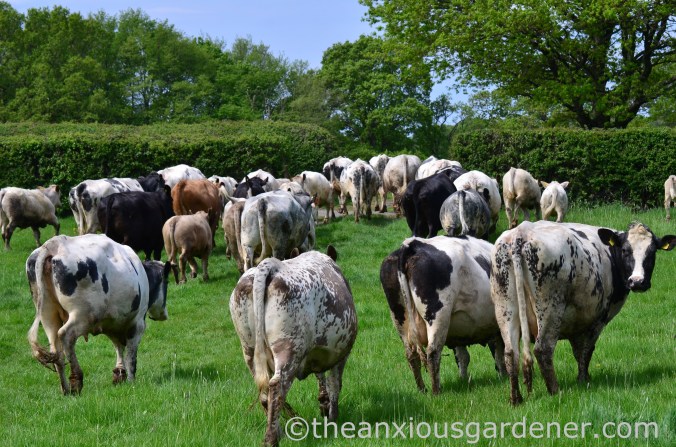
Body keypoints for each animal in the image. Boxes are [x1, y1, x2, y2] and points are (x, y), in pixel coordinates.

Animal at [26, 234, 171, 395]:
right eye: (167, 281)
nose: (164, 314)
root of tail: (55, 243)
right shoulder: (137, 323)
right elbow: (131, 356)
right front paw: (131, 381)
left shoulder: (114, 324)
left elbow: (118, 347)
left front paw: (119, 374)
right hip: (81, 316)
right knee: (66, 336)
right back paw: (76, 381)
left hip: (48, 314)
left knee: (56, 350)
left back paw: (65, 389)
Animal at [230, 247, 357, 446]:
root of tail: (272, 266)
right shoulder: (341, 353)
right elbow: (334, 383)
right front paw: (333, 418)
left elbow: (321, 377)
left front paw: (324, 405)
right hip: (289, 348)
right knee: (277, 386)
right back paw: (271, 439)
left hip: (249, 348)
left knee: (265, 391)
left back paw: (278, 432)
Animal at [380, 236, 506, 394]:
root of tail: (412, 244)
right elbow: (500, 352)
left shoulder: (460, 329)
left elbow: (464, 357)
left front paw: (463, 380)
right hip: (438, 315)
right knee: (433, 352)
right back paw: (436, 391)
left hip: (400, 319)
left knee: (411, 356)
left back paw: (422, 390)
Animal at [490, 220, 676, 405]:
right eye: (625, 250)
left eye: (652, 252)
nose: (637, 282)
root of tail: (521, 233)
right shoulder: (598, 320)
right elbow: (586, 351)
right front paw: (583, 379)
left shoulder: (577, 323)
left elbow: (578, 351)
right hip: (550, 310)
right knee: (543, 349)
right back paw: (555, 391)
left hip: (505, 308)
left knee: (511, 352)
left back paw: (516, 399)